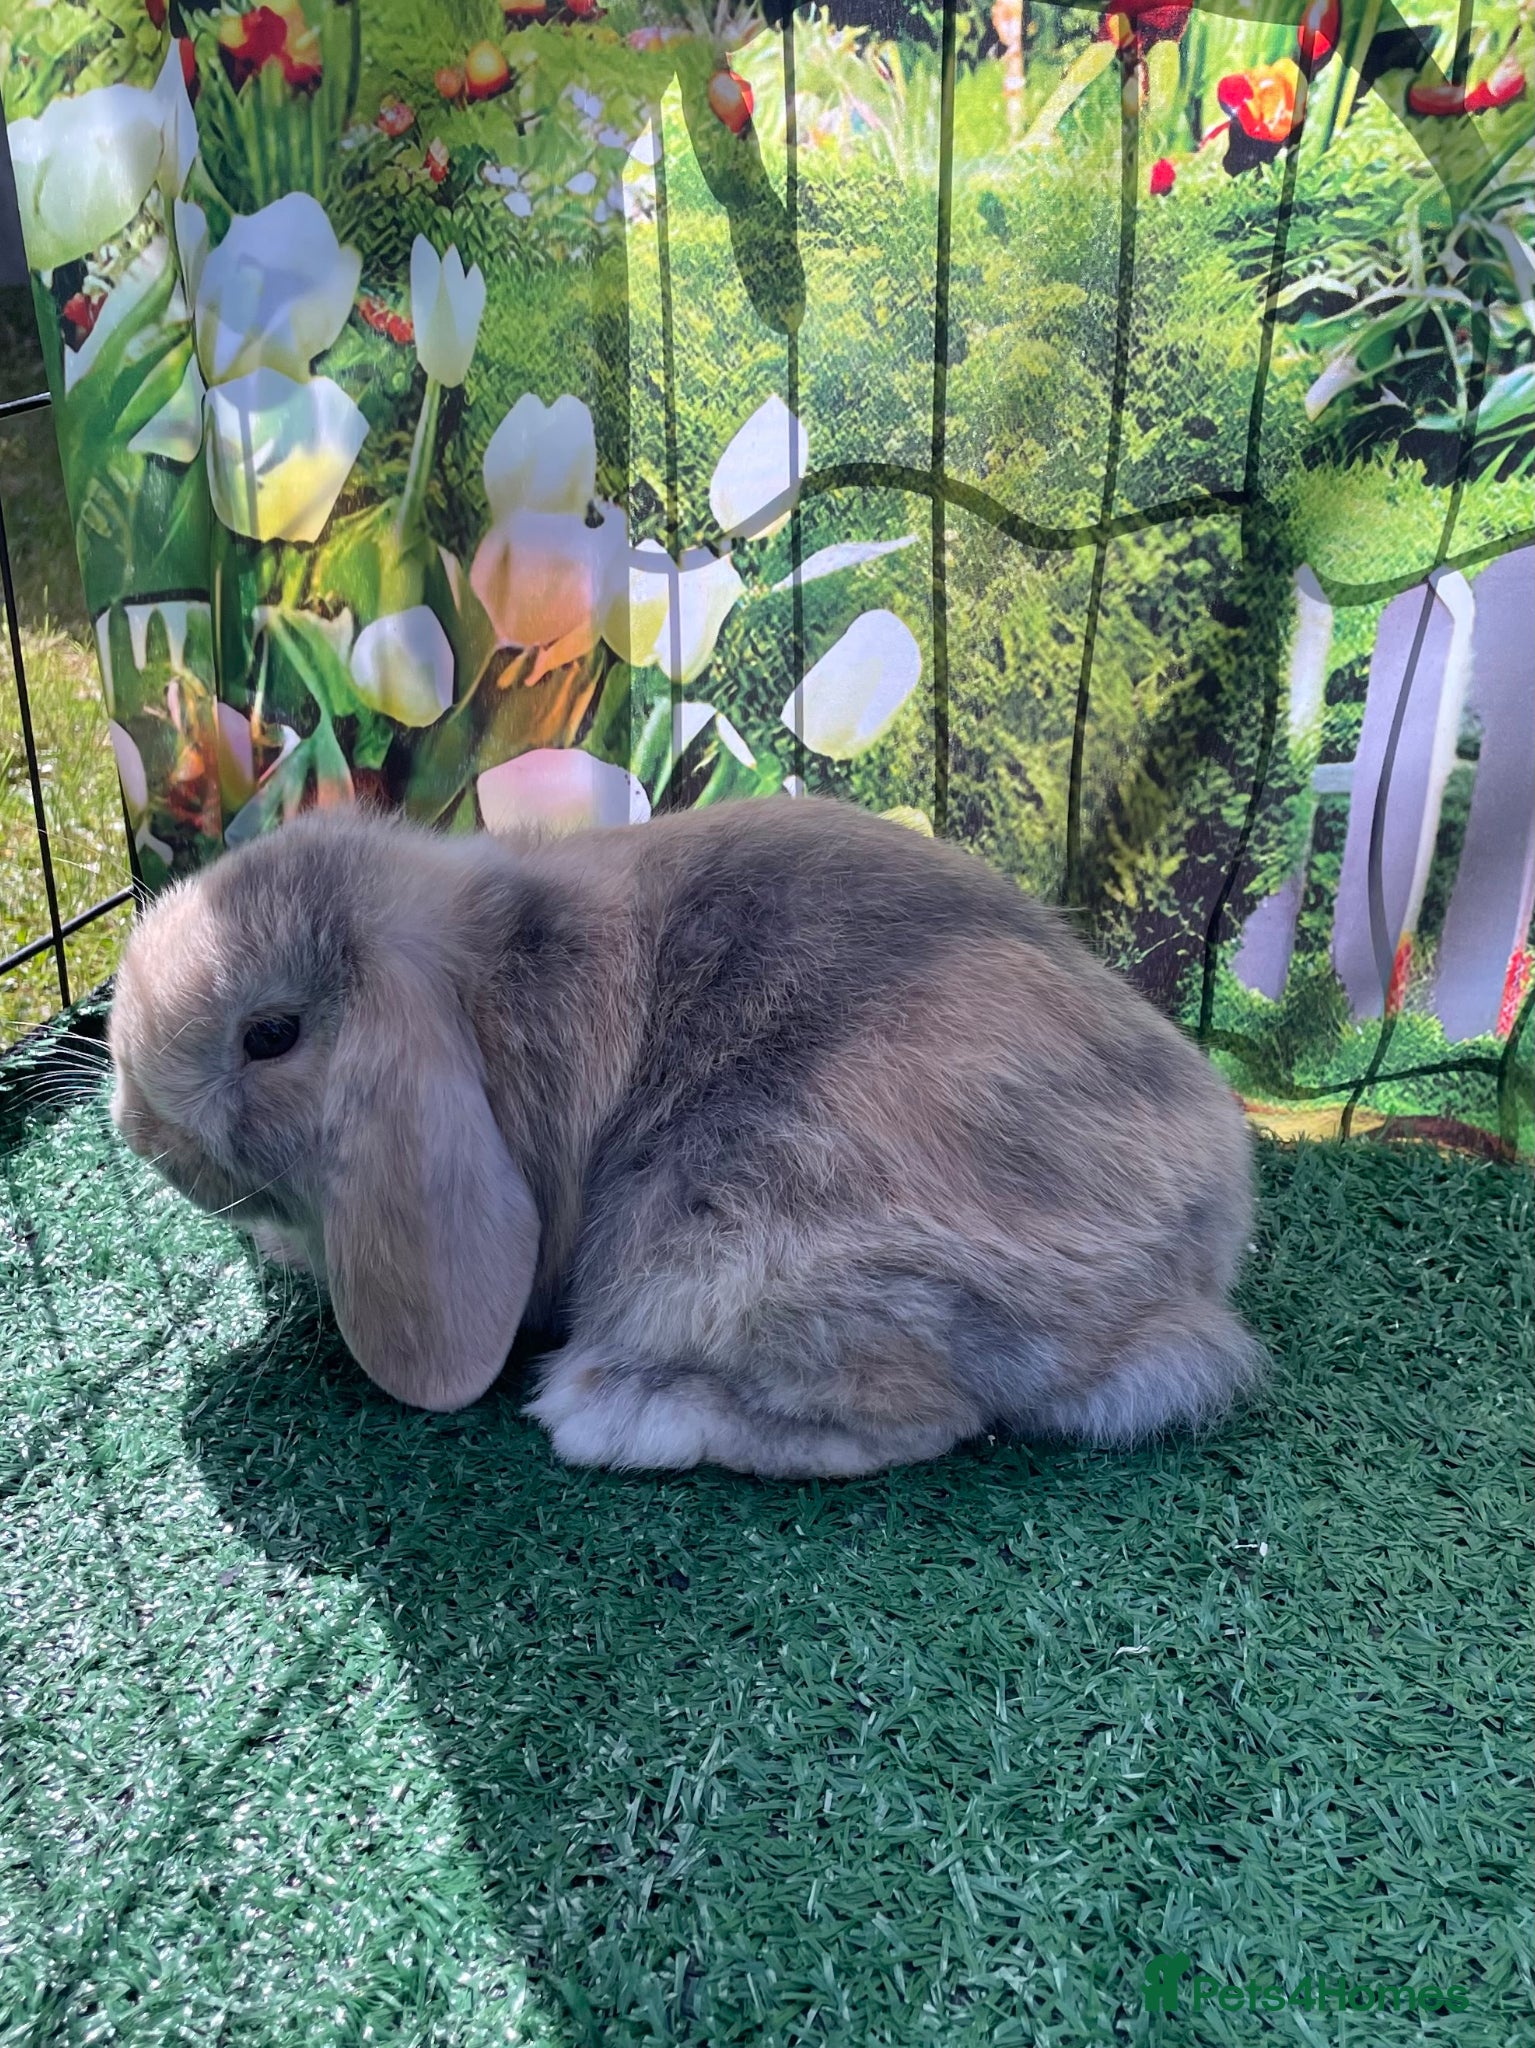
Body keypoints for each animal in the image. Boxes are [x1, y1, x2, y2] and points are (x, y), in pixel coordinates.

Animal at [108, 795, 1264, 1479]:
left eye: (270, 1035)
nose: (135, 1123)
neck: (488, 990)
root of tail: (1181, 1288)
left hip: (732, 1236)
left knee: (913, 1417)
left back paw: (609, 1413)